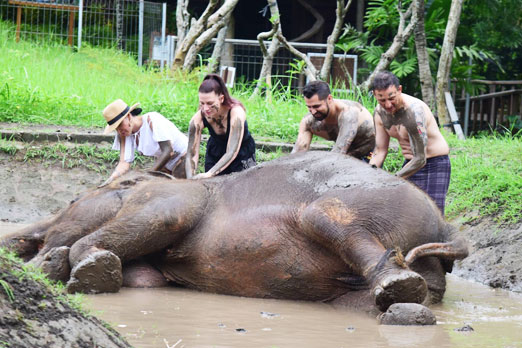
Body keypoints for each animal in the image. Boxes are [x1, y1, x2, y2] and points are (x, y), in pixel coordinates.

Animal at [0, 152, 464, 324]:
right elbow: (146, 279)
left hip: (355, 203)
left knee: (327, 217)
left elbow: (167, 216)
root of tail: (444, 227)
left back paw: (397, 283)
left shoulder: (172, 198)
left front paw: (81, 268)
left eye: (73, 198)